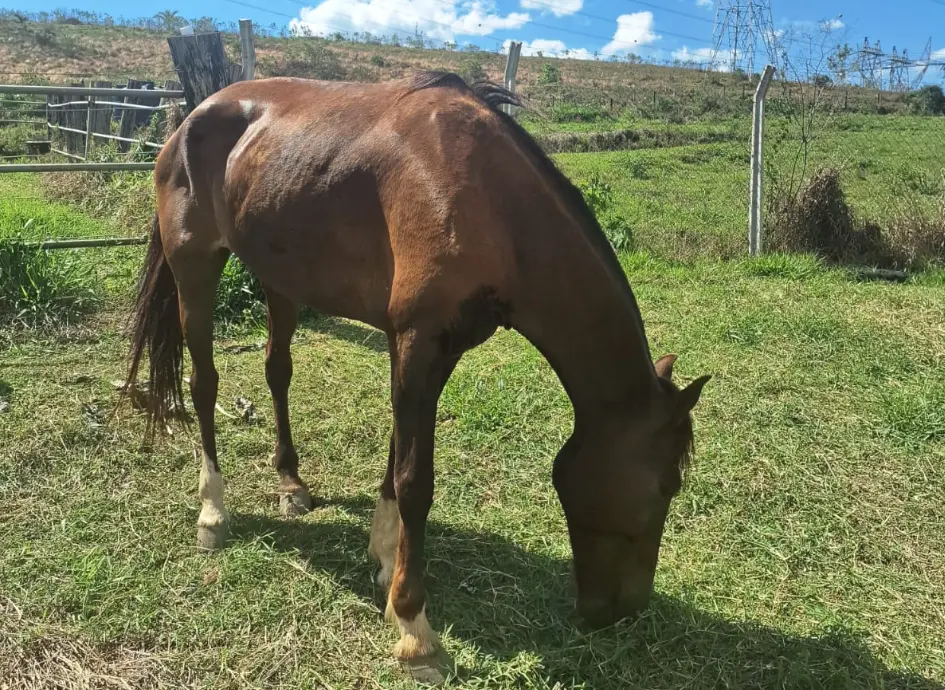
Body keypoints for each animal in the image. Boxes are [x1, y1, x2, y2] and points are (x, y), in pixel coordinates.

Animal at [125, 72, 710, 682]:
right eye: (668, 486)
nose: (627, 610)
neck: (492, 203)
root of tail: (189, 121)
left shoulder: (428, 348)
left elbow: (395, 459)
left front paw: (386, 561)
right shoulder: (416, 341)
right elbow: (415, 483)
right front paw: (414, 629)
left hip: (280, 277)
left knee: (276, 370)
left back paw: (291, 483)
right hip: (195, 268)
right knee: (204, 384)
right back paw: (213, 513)